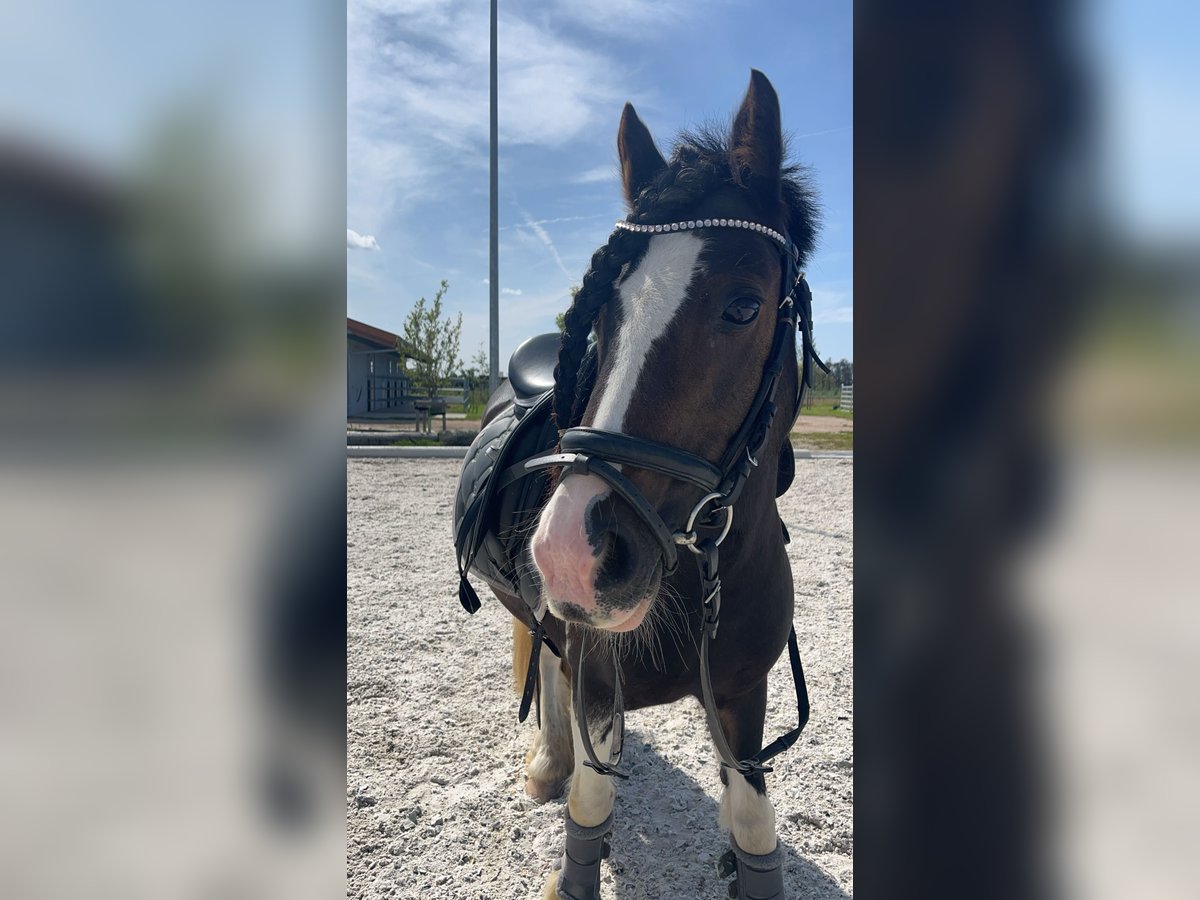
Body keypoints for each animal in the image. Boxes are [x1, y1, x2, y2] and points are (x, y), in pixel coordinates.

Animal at [451, 70, 825, 900]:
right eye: (602, 319)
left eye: (745, 305)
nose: (571, 553)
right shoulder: (598, 682)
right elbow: (591, 805)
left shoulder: (742, 694)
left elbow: (753, 821)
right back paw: (547, 763)